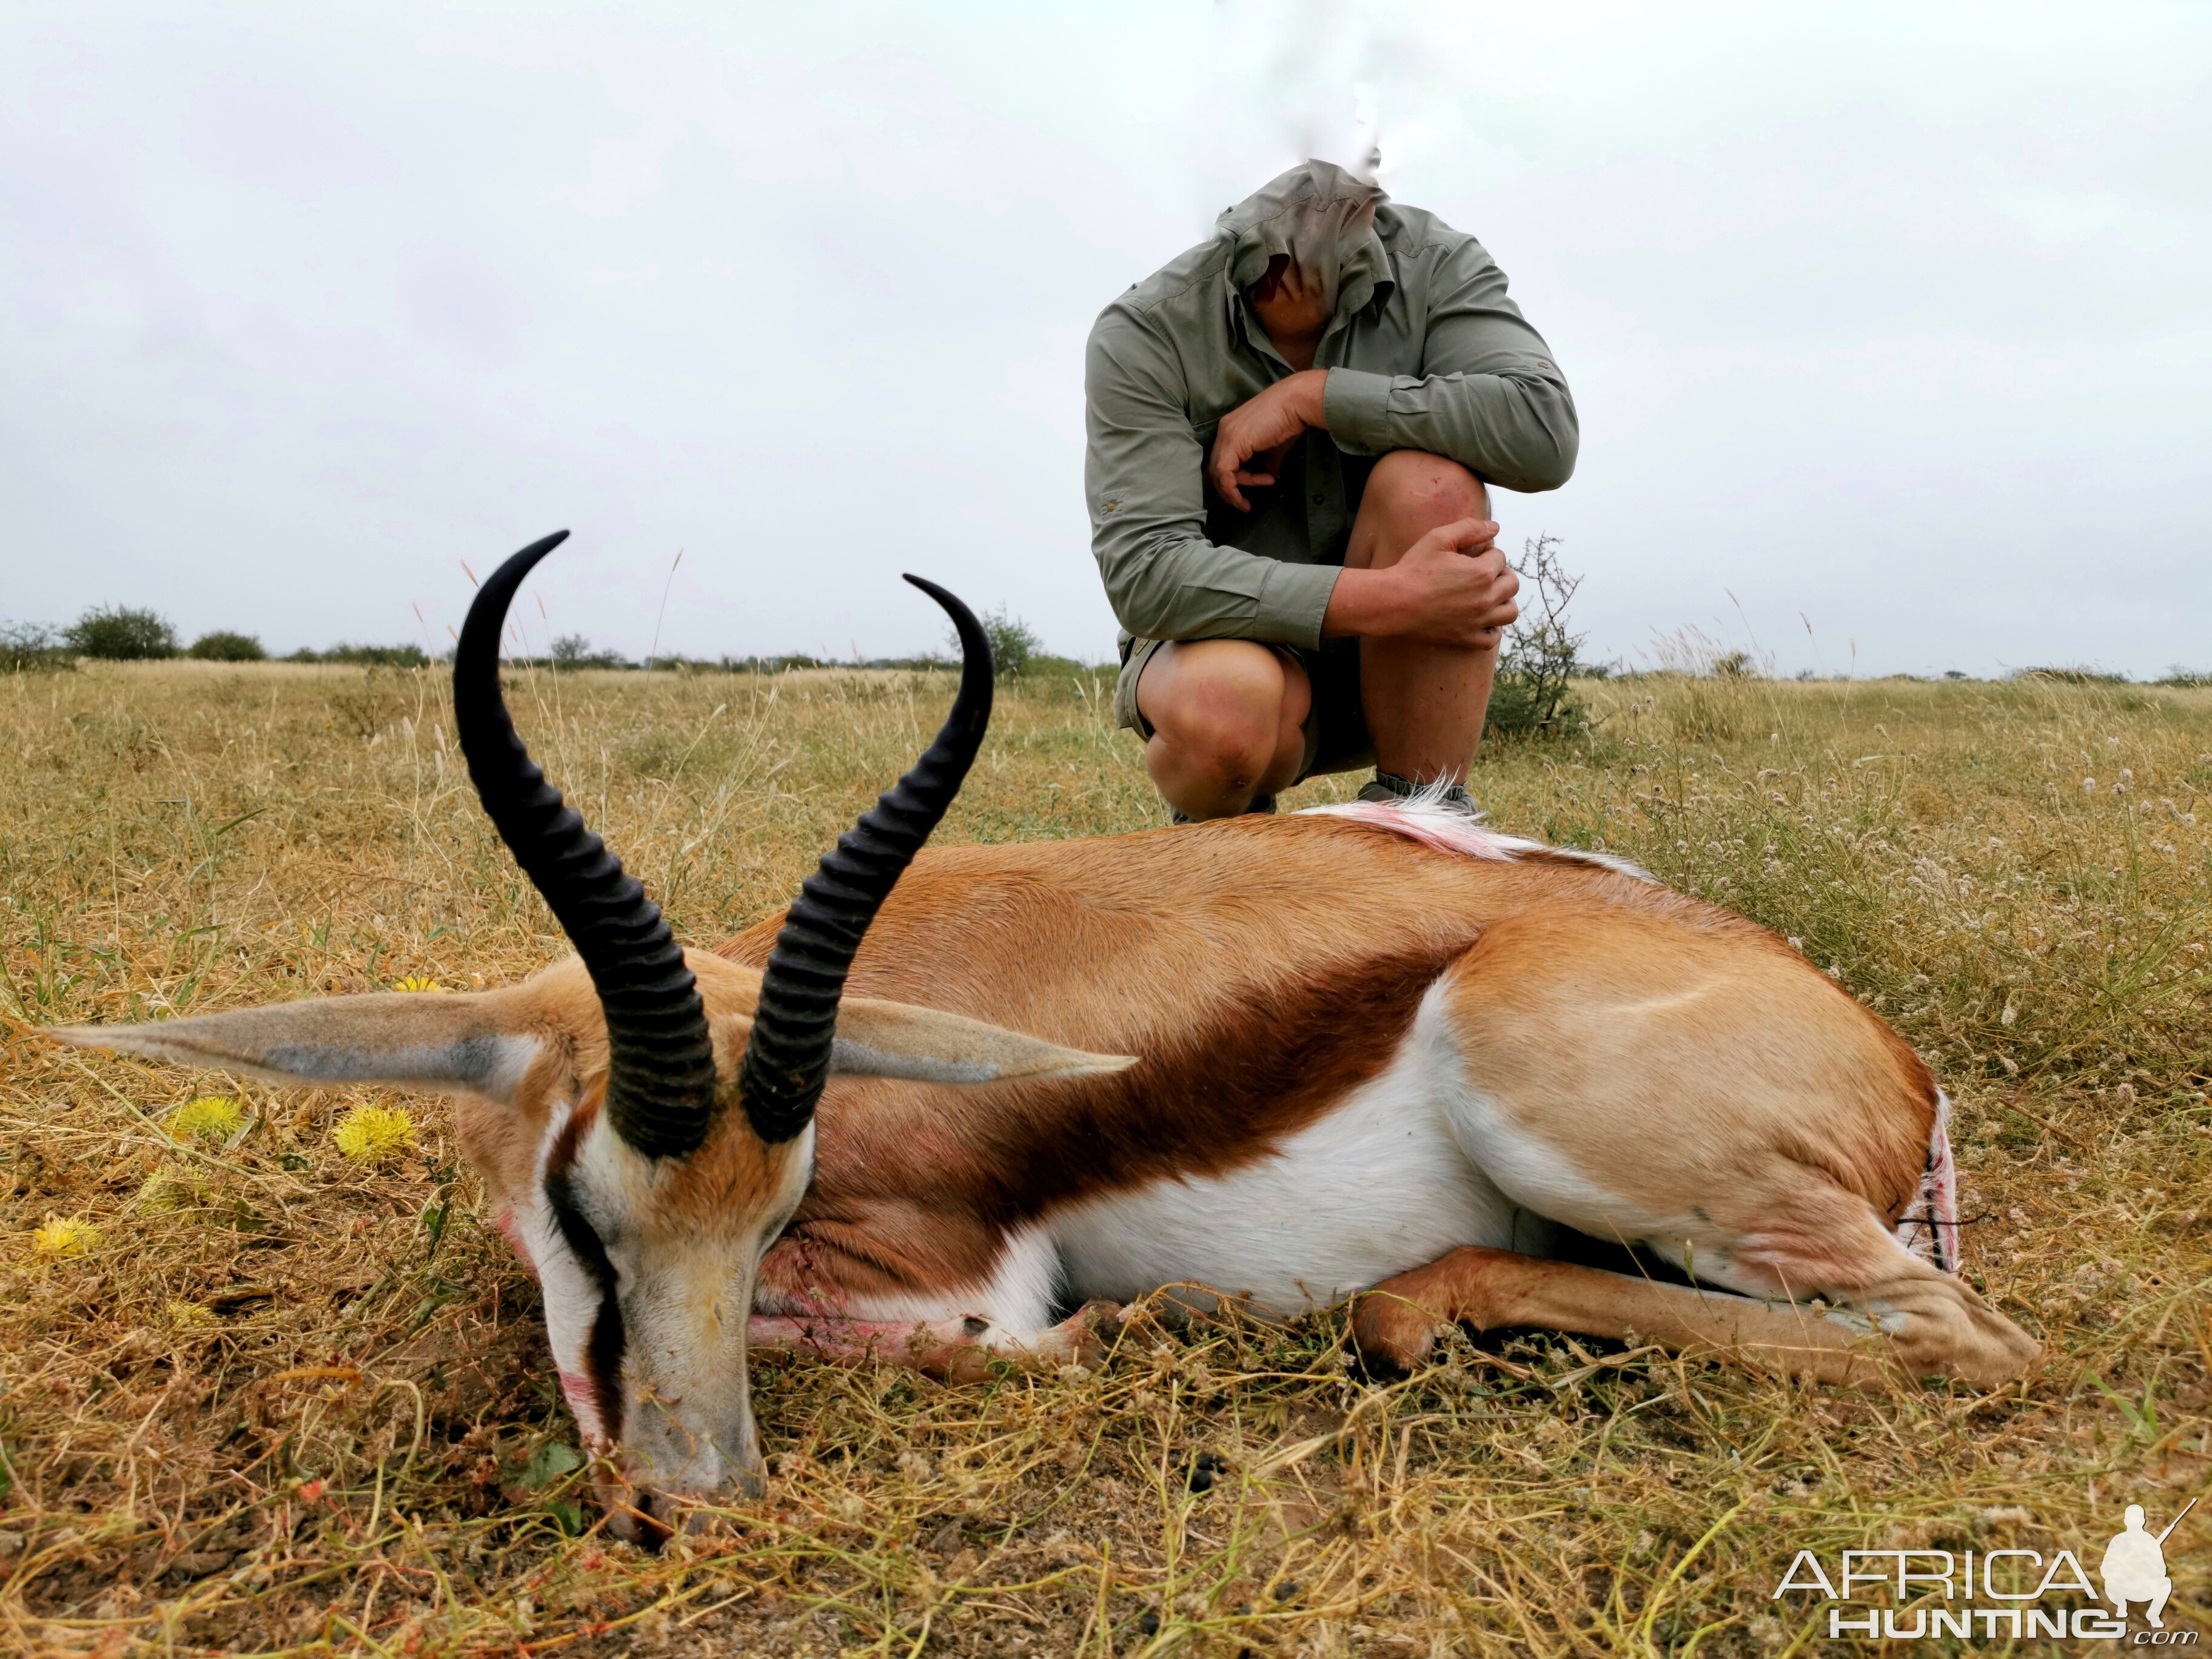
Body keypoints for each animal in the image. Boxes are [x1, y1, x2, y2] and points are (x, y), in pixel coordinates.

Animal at [56, 540, 2035, 1557]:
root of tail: (1887, 1056)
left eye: (766, 1218)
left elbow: (996, 1338)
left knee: (1961, 1345)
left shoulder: (950, 1280)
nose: (695, 1495)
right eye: (588, 1210)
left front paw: (1126, 1332)